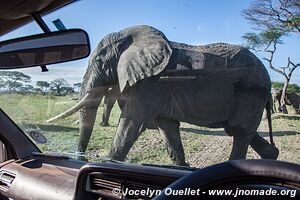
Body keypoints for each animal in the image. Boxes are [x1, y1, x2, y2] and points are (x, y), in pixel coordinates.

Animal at [47, 25, 278, 166]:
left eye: (99, 62)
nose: (80, 160)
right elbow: (167, 127)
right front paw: (182, 167)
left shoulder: (151, 84)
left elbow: (131, 122)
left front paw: (109, 163)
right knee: (237, 130)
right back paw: (271, 157)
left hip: (250, 93)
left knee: (240, 132)